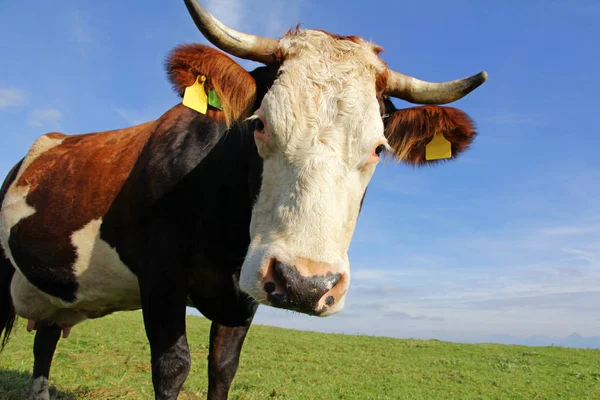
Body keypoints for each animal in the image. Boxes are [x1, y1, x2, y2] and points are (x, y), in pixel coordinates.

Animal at [0, 0, 488, 400]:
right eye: (260, 124)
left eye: (378, 148)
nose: (306, 283)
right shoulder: (160, 279)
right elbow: (172, 367)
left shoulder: (242, 298)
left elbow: (223, 368)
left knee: (44, 344)